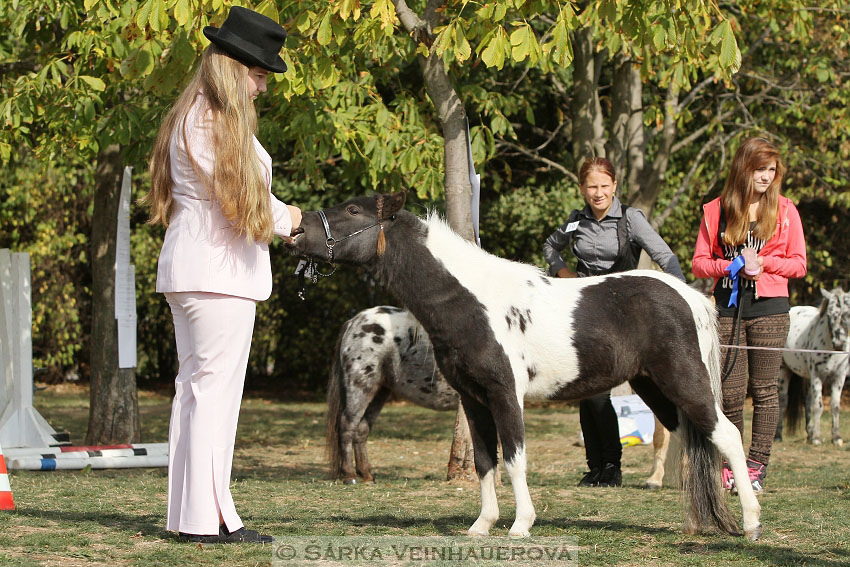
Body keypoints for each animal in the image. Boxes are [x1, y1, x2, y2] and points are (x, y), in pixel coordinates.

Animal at [324, 306, 458, 484]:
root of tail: (355, 321)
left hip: (379, 393)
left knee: (361, 429)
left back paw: (366, 475)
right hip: (361, 387)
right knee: (347, 425)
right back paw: (350, 476)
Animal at [776, 290, 848, 446]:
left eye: (847, 314)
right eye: (829, 315)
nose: (839, 344)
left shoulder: (839, 377)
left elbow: (835, 406)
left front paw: (836, 437)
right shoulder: (817, 376)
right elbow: (819, 406)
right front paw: (817, 438)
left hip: (807, 377)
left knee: (807, 401)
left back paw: (809, 433)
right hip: (784, 371)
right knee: (783, 401)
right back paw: (778, 435)